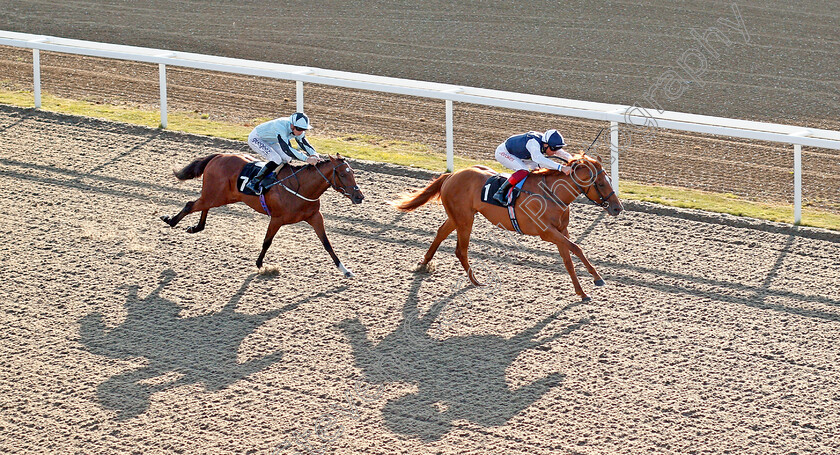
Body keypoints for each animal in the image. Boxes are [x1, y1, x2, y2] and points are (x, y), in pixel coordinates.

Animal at [161, 155, 364, 278]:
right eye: (342, 174)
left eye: (353, 173)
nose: (359, 196)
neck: (302, 187)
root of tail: (218, 156)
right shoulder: (277, 219)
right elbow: (267, 241)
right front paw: (260, 264)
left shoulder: (315, 216)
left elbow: (327, 244)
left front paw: (345, 270)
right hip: (215, 195)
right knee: (190, 205)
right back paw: (171, 220)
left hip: (219, 196)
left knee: (202, 207)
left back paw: (195, 227)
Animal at [394, 155, 624, 302]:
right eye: (600, 183)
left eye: (610, 180)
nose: (617, 208)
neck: (552, 193)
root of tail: (451, 175)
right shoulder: (547, 233)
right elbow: (576, 248)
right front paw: (597, 278)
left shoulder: (561, 231)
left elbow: (569, 259)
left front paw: (583, 291)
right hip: (465, 219)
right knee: (461, 249)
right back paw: (475, 281)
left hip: (457, 217)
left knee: (441, 233)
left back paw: (424, 265)